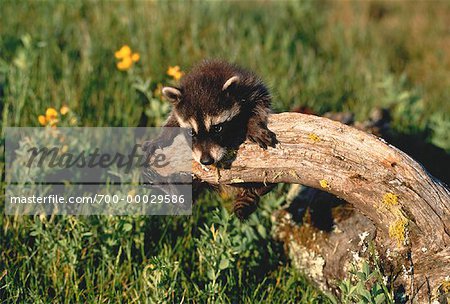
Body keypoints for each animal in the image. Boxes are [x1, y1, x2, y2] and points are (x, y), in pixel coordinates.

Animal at [144, 60, 278, 221]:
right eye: (191, 132)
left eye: (217, 128)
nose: (206, 161)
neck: (205, 78)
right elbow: (172, 120)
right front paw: (162, 137)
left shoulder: (250, 86)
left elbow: (261, 104)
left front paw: (253, 124)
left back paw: (263, 187)